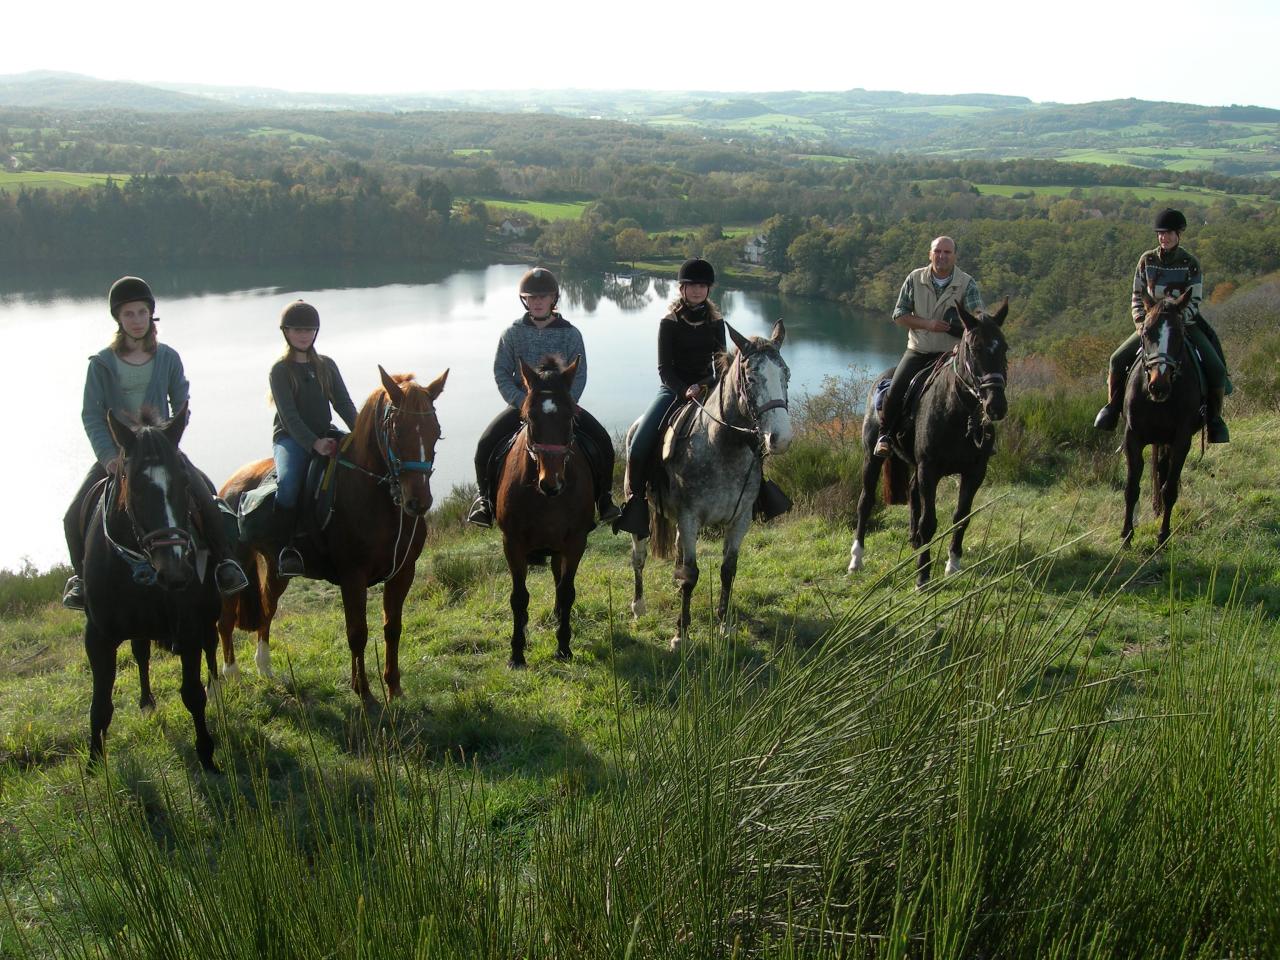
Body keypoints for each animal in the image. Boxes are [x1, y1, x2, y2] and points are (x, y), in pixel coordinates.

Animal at [80, 407, 221, 773]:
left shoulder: (188, 627)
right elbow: (100, 705)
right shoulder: (97, 637)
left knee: (212, 644)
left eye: (184, 482)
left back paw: (218, 686)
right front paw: (94, 763)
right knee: (141, 654)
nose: (176, 572)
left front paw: (207, 755)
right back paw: (146, 701)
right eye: (136, 487)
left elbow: (193, 694)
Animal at [215, 363, 445, 701]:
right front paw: (364, 693)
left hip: (277, 570)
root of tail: (229, 485)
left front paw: (394, 689)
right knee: (226, 620)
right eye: (396, 430)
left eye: (435, 432)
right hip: (237, 569)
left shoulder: (403, 573)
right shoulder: (353, 576)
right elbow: (357, 633)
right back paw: (232, 675)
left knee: (267, 609)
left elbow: (392, 628)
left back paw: (265, 668)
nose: (418, 502)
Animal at [499, 355, 599, 670]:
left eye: (569, 418)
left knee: (558, 576)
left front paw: (564, 647)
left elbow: (567, 592)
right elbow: (519, 598)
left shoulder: (576, 541)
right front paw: (516, 654)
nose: (551, 482)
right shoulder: (512, 543)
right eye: (530, 418)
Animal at [627, 320, 793, 650]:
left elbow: (727, 570)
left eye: (787, 374)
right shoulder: (691, 518)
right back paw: (639, 606)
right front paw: (680, 635)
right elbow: (691, 574)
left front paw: (724, 626)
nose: (780, 439)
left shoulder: (739, 520)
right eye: (751, 378)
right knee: (639, 557)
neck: (721, 446)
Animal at [1121, 288, 1198, 547]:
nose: (1159, 386)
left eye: (1180, 334)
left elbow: (1170, 488)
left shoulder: (1182, 439)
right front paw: (1126, 536)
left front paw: (1163, 536)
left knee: (1164, 476)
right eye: (1146, 332)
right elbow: (1132, 488)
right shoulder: (1132, 437)